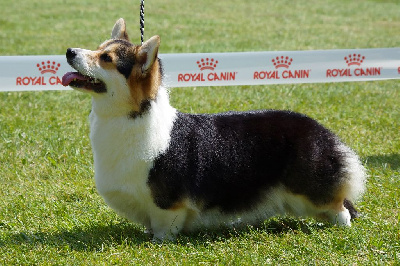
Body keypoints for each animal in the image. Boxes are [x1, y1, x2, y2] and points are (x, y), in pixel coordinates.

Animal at [61, 17, 366, 240]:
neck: (131, 116)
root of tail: (324, 134)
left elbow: (164, 227)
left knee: (340, 208)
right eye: (98, 49)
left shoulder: (167, 205)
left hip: (311, 190)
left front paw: (158, 242)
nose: (69, 51)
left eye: (107, 59)